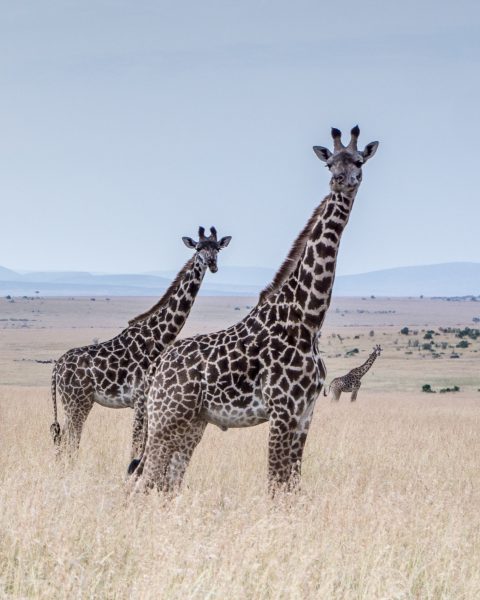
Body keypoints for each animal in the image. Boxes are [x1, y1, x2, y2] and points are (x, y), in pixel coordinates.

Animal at [49, 226, 232, 460]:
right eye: (199, 248)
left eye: (217, 248)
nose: (212, 264)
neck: (159, 337)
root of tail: (57, 368)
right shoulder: (139, 398)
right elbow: (136, 445)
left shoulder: (149, 399)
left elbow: (142, 443)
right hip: (77, 401)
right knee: (69, 441)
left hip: (73, 402)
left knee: (63, 439)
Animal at [127, 124, 378, 494]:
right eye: (329, 163)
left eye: (359, 161)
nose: (341, 181)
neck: (306, 318)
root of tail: (156, 368)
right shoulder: (283, 410)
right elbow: (275, 485)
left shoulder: (306, 413)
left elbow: (293, 486)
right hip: (165, 417)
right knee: (144, 481)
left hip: (191, 422)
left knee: (167, 481)